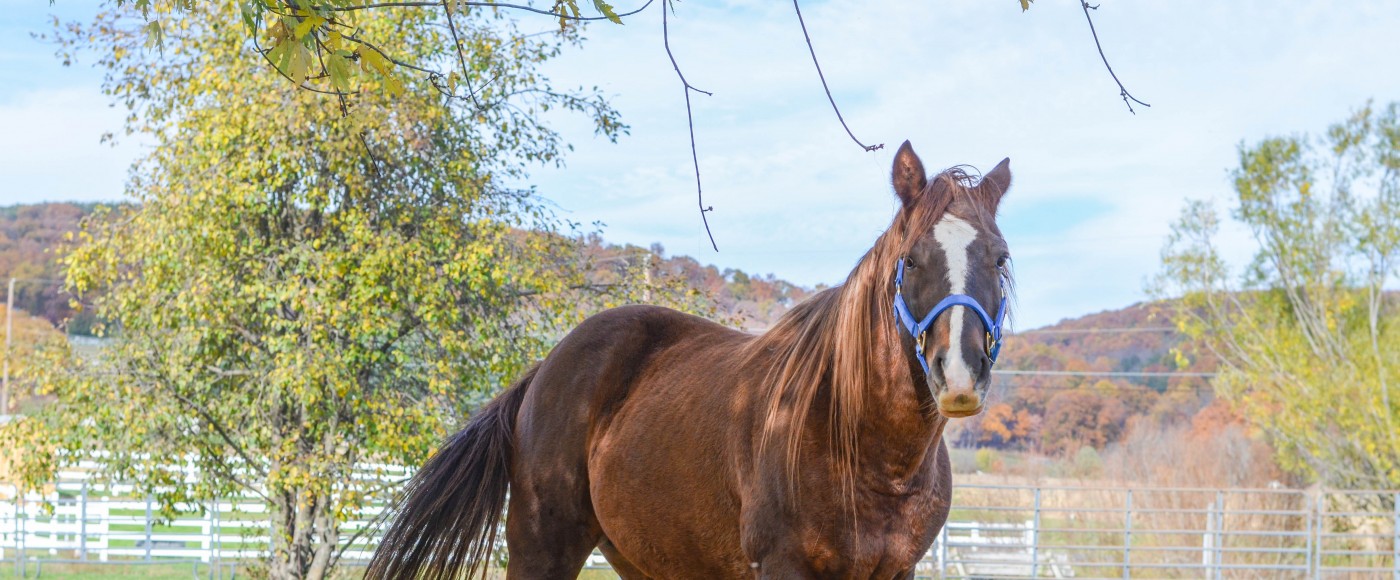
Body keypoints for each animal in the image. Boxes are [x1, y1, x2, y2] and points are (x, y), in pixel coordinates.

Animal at [366, 141, 1013, 580]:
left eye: (1000, 259)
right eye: (911, 261)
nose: (959, 375)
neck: (857, 439)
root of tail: (546, 368)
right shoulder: (785, 567)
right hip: (540, 545)